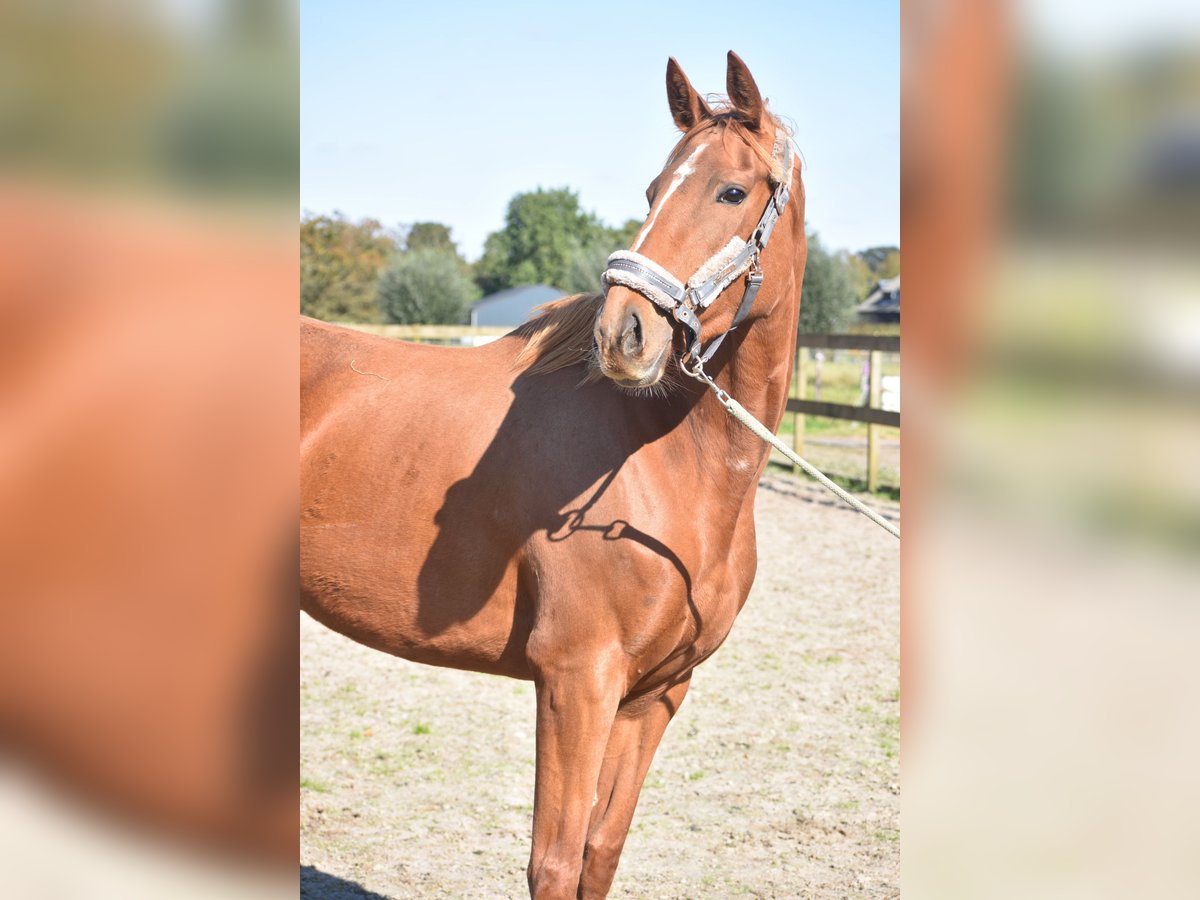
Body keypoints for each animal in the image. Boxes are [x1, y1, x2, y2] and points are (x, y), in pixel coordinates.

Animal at [298, 52, 806, 897]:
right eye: (653, 190)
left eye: (732, 191)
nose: (625, 334)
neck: (661, 463)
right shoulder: (576, 682)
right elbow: (555, 861)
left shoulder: (655, 696)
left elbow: (599, 854)